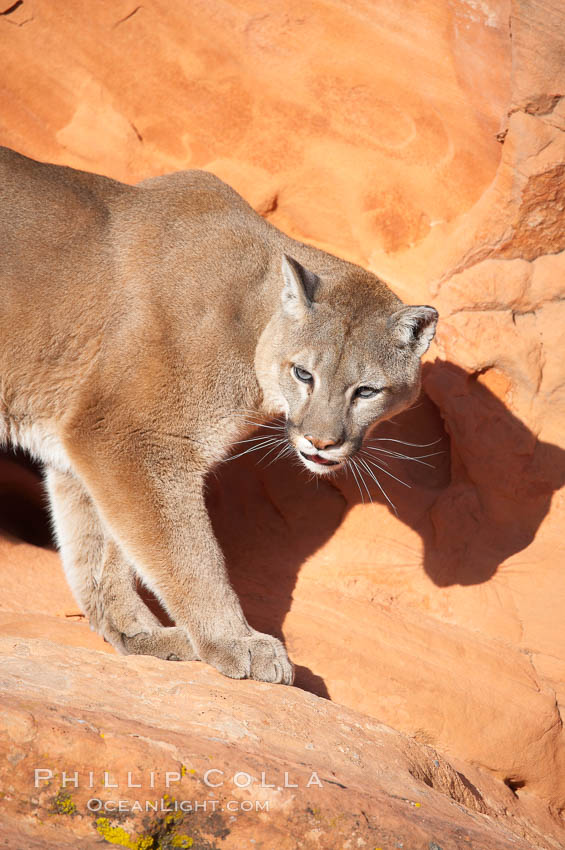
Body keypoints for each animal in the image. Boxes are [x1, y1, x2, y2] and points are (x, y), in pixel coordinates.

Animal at [0, 147, 436, 684]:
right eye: (304, 374)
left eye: (367, 391)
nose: (321, 442)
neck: (254, 322)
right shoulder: (132, 439)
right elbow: (188, 554)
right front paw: (236, 641)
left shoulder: (84, 443)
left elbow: (101, 548)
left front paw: (137, 635)